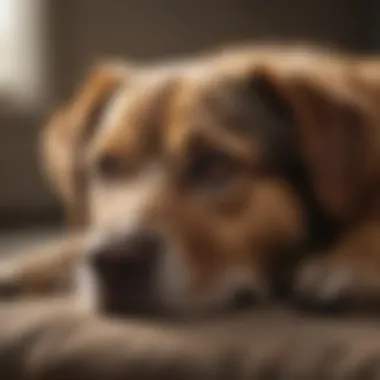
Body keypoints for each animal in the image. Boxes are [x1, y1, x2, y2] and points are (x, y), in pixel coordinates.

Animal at [1, 46, 378, 316]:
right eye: (106, 166)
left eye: (215, 164)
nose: (115, 260)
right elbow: (77, 242)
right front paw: (28, 265)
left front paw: (348, 263)